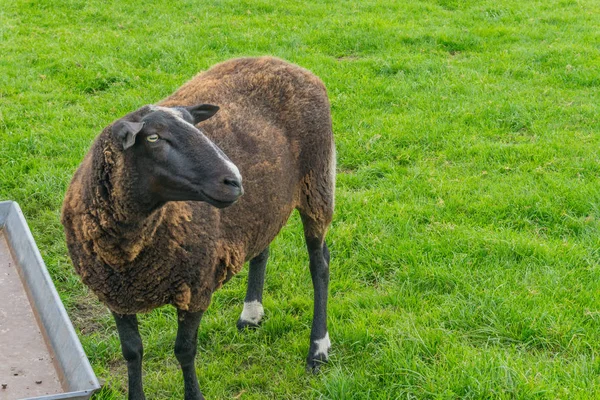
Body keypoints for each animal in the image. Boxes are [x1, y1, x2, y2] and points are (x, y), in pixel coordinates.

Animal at [62, 57, 336, 400]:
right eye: (153, 138)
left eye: (196, 128)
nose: (235, 180)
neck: (130, 252)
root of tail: (286, 63)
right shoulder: (115, 295)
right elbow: (132, 352)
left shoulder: (195, 288)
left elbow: (184, 350)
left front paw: (193, 394)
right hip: (265, 204)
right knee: (262, 248)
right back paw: (251, 314)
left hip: (318, 181)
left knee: (319, 264)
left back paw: (318, 349)